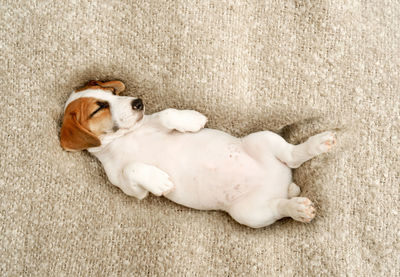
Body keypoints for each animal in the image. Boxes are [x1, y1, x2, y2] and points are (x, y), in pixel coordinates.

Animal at [61, 79, 336, 226]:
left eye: (113, 93)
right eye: (98, 109)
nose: (138, 102)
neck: (125, 137)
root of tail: (281, 183)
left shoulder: (153, 120)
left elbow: (167, 113)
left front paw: (192, 120)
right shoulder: (129, 187)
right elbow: (132, 168)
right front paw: (159, 181)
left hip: (262, 140)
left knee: (293, 154)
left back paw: (318, 143)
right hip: (251, 213)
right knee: (280, 204)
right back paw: (297, 208)